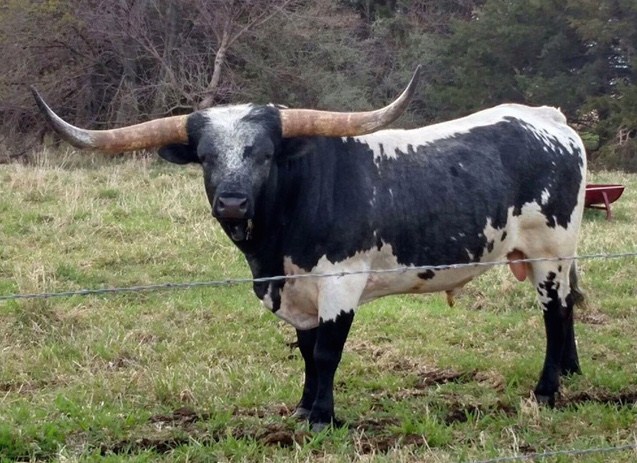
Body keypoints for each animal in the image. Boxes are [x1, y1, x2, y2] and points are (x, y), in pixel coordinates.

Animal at [31, 67, 587, 432]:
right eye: (206, 157)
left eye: (264, 153)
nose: (232, 202)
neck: (273, 251)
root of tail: (547, 119)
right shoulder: (296, 293)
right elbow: (304, 350)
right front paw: (302, 408)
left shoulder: (340, 281)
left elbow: (326, 352)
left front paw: (322, 417)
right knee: (567, 311)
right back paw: (569, 375)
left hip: (550, 253)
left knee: (555, 314)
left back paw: (546, 390)